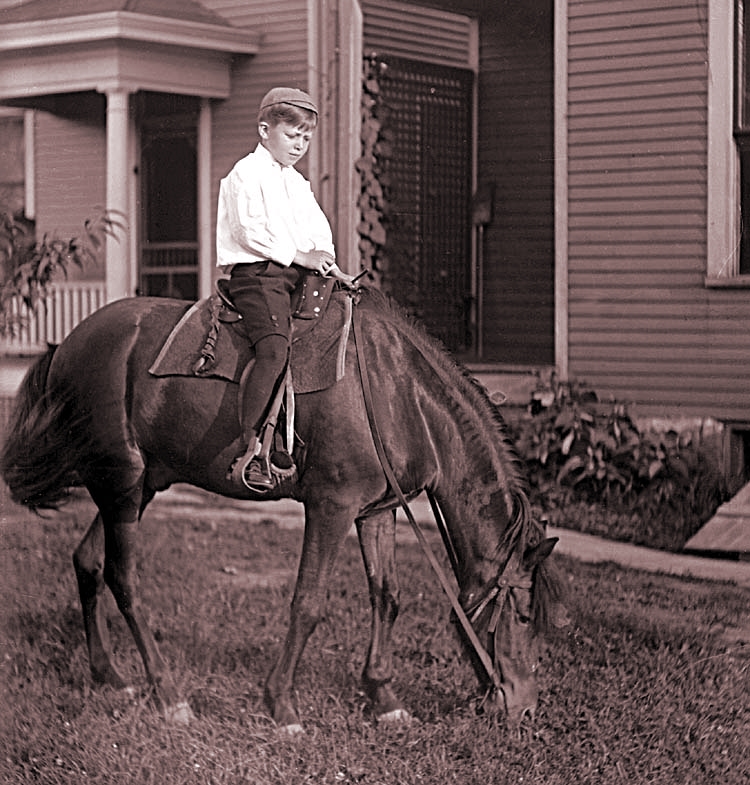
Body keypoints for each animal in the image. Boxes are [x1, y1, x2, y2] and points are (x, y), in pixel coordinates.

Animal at [1, 284, 564, 732]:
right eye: (519, 614)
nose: (526, 708)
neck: (399, 395)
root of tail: (67, 345)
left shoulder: (376, 510)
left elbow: (387, 596)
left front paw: (383, 697)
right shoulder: (332, 507)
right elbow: (308, 603)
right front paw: (282, 706)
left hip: (136, 487)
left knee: (87, 562)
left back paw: (110, 676)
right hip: (121, 485)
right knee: (124, 579)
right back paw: (169, 694)